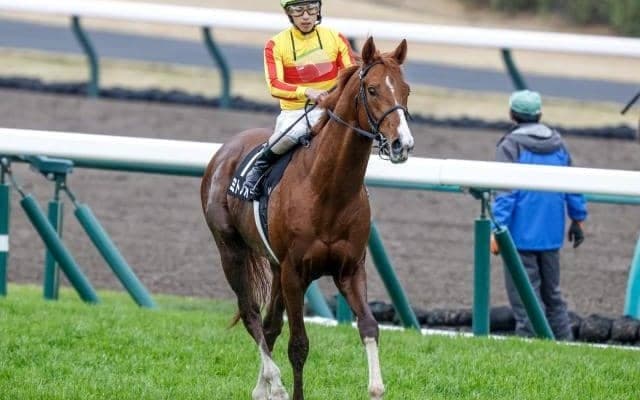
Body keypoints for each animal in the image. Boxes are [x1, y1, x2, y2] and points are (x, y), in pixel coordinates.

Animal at [200, 36, 414, 400]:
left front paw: (376, 386)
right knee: (251, 314)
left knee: (269, 325)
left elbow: (369, 327)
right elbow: (298, 345)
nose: (402, 144)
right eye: (372, 90)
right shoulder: (294, 272)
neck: (328, 192)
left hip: (273, 266)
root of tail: (224, 151)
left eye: (406, 90)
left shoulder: (349, 268)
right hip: (231, 250)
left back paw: (261, 388)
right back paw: (273, 382)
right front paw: (285, 387)